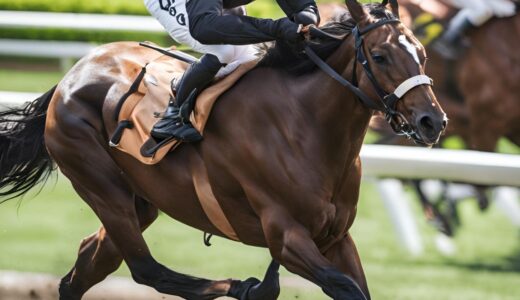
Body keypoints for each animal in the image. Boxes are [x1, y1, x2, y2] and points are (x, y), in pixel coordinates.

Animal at [2, 1, 444, 298]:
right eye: (380, 56)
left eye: (422, 52)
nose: (432, 121)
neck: (306, 127)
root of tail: (71, 76)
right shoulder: (285, 236)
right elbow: (345, 287)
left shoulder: (335, 237)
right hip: (101, 186)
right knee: (147, 270)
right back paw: (244, 286)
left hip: (140, 200)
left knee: (88, 263)